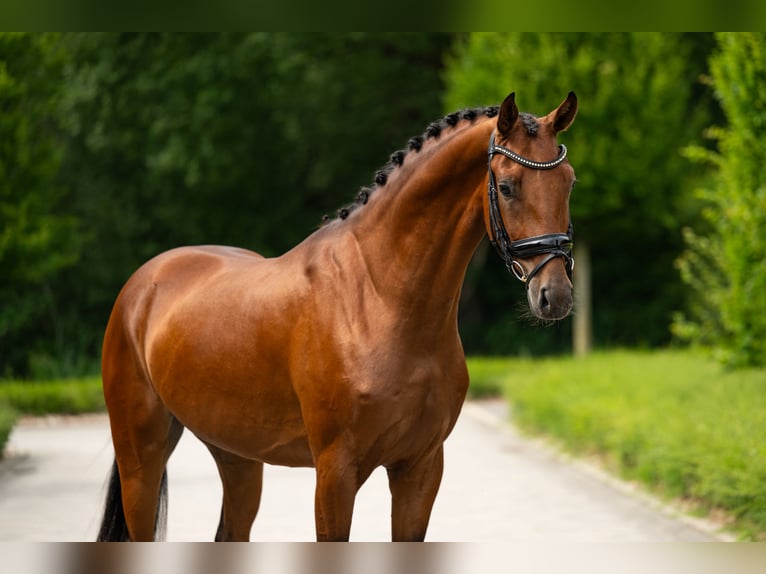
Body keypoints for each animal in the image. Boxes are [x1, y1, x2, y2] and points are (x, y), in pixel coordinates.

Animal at [96, 91, 578, 542]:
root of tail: (143, 284)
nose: (554, 294)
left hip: (237, 455)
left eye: (568, 182)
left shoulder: (421, 467)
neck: (379, 301)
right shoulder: (335, 473)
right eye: (508, 186)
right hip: (141, 458)